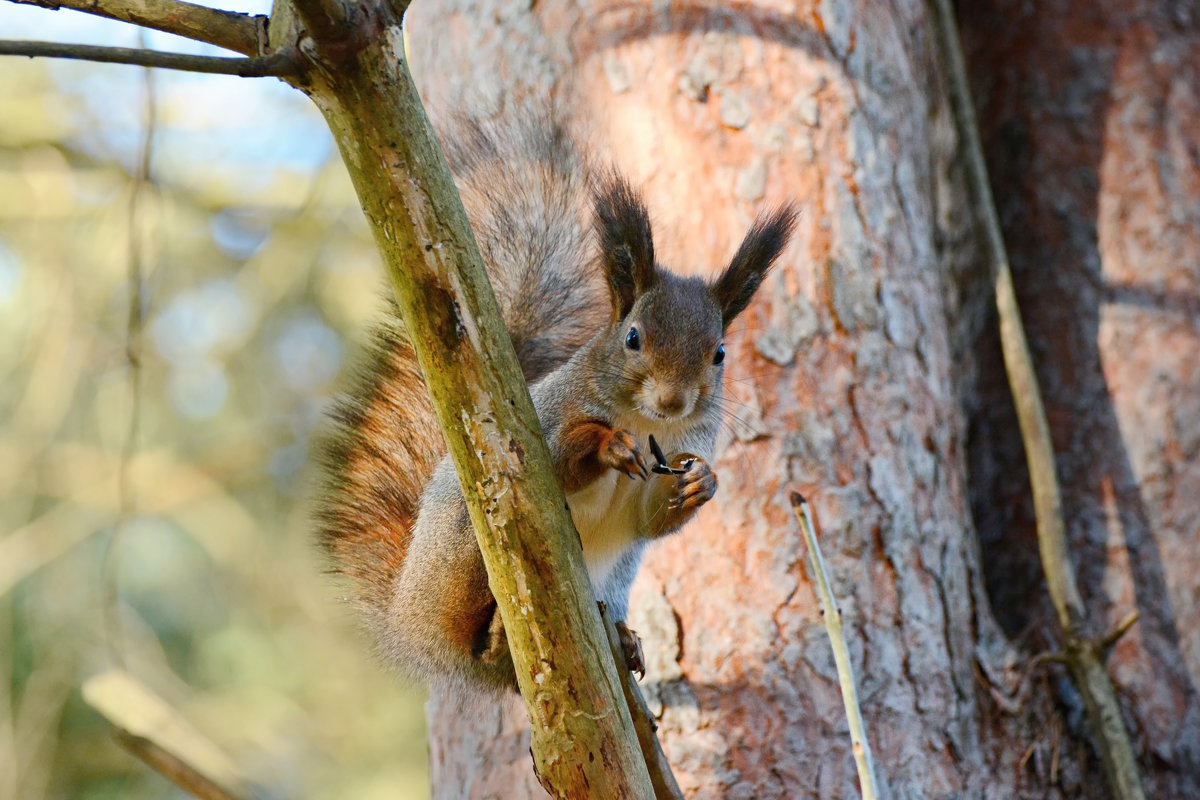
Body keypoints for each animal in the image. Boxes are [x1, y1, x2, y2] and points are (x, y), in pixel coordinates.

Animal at [316, 118, 796, 695]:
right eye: (632, 337)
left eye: (719, 353)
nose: (672, 400)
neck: (643, 420)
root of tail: (408, 620)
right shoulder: (544, 422)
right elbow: (552, 464)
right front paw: (607, 445)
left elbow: (648, 518)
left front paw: (703, 481)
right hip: (469, 546)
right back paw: (493, 631)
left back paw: (625, 639)